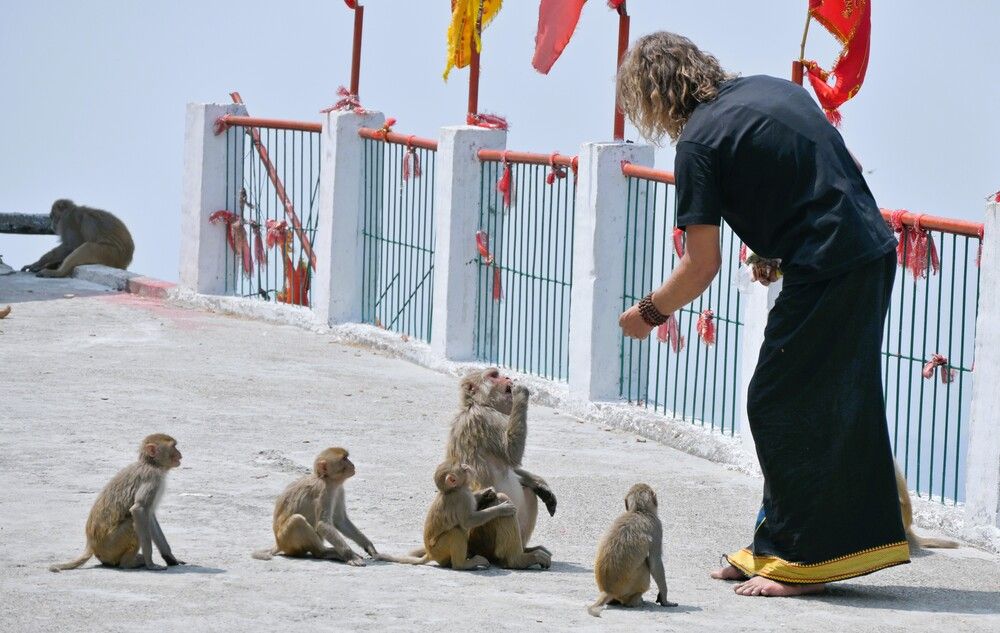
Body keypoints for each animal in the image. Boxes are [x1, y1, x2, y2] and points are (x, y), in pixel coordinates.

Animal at [49, 434, 185, 572]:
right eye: (173, 446)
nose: (180, 454)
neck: (152, 464)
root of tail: (91, 545)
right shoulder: (153, 478)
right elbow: (139, 510)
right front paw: (150, 563)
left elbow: (149, 515)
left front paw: (170, 558)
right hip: (110, 546)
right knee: (132, 522)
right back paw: (129, 563)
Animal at [377, 462, 518, 570]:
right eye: (462, 467)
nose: (467, 465)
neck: (453, 490)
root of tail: (430, 554)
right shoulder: (462, 497)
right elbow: (468, 521)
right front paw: (502, 509)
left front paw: (486, 493)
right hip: (439, 550)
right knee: (456, 531)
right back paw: (462, 565)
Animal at [441, 368, 553, 569]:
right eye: (494, 375)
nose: (508, 377)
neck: (477, 404)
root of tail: (471, 549)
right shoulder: (488, 418)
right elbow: (512, 453)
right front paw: (521, 392)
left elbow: (514, 467)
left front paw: (539, 483)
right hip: (482, 537)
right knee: (500, 499)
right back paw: (517, 559)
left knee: (528, 492)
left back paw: (526, 549)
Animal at [589, 483, 677, 617]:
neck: (639, 511)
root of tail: (607, 590)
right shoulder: (657, 527)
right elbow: (655, 562)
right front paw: (665, 599)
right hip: (630, 585)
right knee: (645, 565)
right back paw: (635, 601)